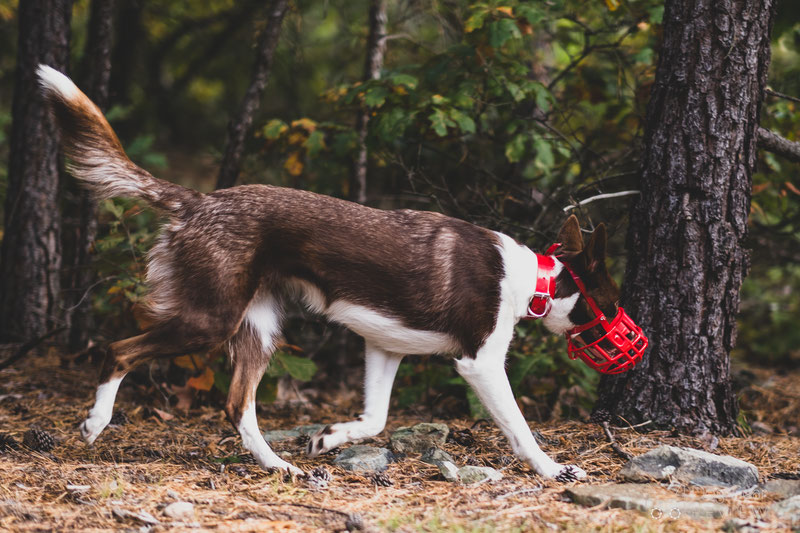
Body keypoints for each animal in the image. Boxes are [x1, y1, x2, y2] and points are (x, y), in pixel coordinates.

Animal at [39, 64, 624, 480]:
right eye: (614, 303)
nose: (635, 344)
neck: (531, 280)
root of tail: (200, 201)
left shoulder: (385, 347)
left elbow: (376, 418)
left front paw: (329, 438)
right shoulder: (479, 364)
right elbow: (521, 430)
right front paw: (552, 469)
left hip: (259, 329)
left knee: (237, 404)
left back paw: (279, 465)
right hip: (209, 320)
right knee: (118, 351)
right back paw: (95, 423)